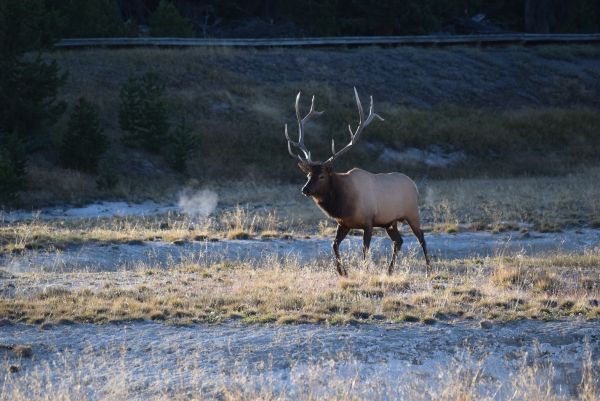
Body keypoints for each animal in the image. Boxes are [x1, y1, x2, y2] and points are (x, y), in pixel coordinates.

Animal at [284, 87, 428, 276]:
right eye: (308, 175)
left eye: (322, 176)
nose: (305, 189)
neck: (343, 203)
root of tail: (414, 185)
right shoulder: (343, 224)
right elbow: (334, 244)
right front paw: (342, 271)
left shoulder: (368, 221)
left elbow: (365, 249)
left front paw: (364, 270)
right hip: (390, 222)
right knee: (399, 241)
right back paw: (389, 271)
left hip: (412, 212)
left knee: (421, 238)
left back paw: (429, 269)